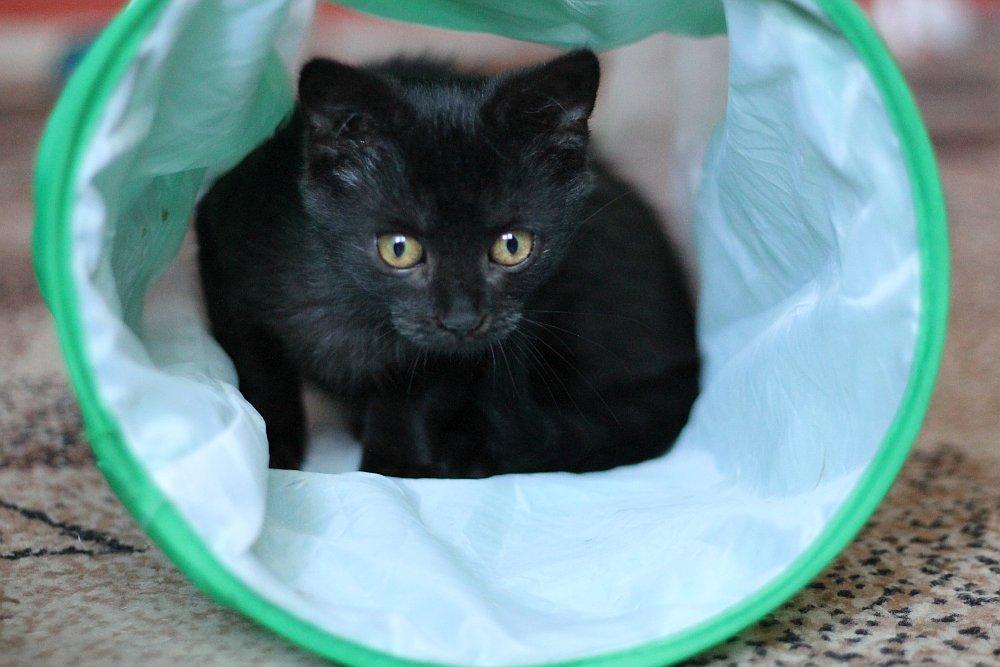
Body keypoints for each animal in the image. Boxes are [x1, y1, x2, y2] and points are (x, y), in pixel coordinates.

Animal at [195, 49, 699, 477]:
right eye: (399, 248)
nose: (462, 319)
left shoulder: (460, 357)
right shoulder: (225, 251)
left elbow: (413, 396)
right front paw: (271, 457)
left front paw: (395, 471)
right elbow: (262, 376)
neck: (357, 311)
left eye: (512, 245)